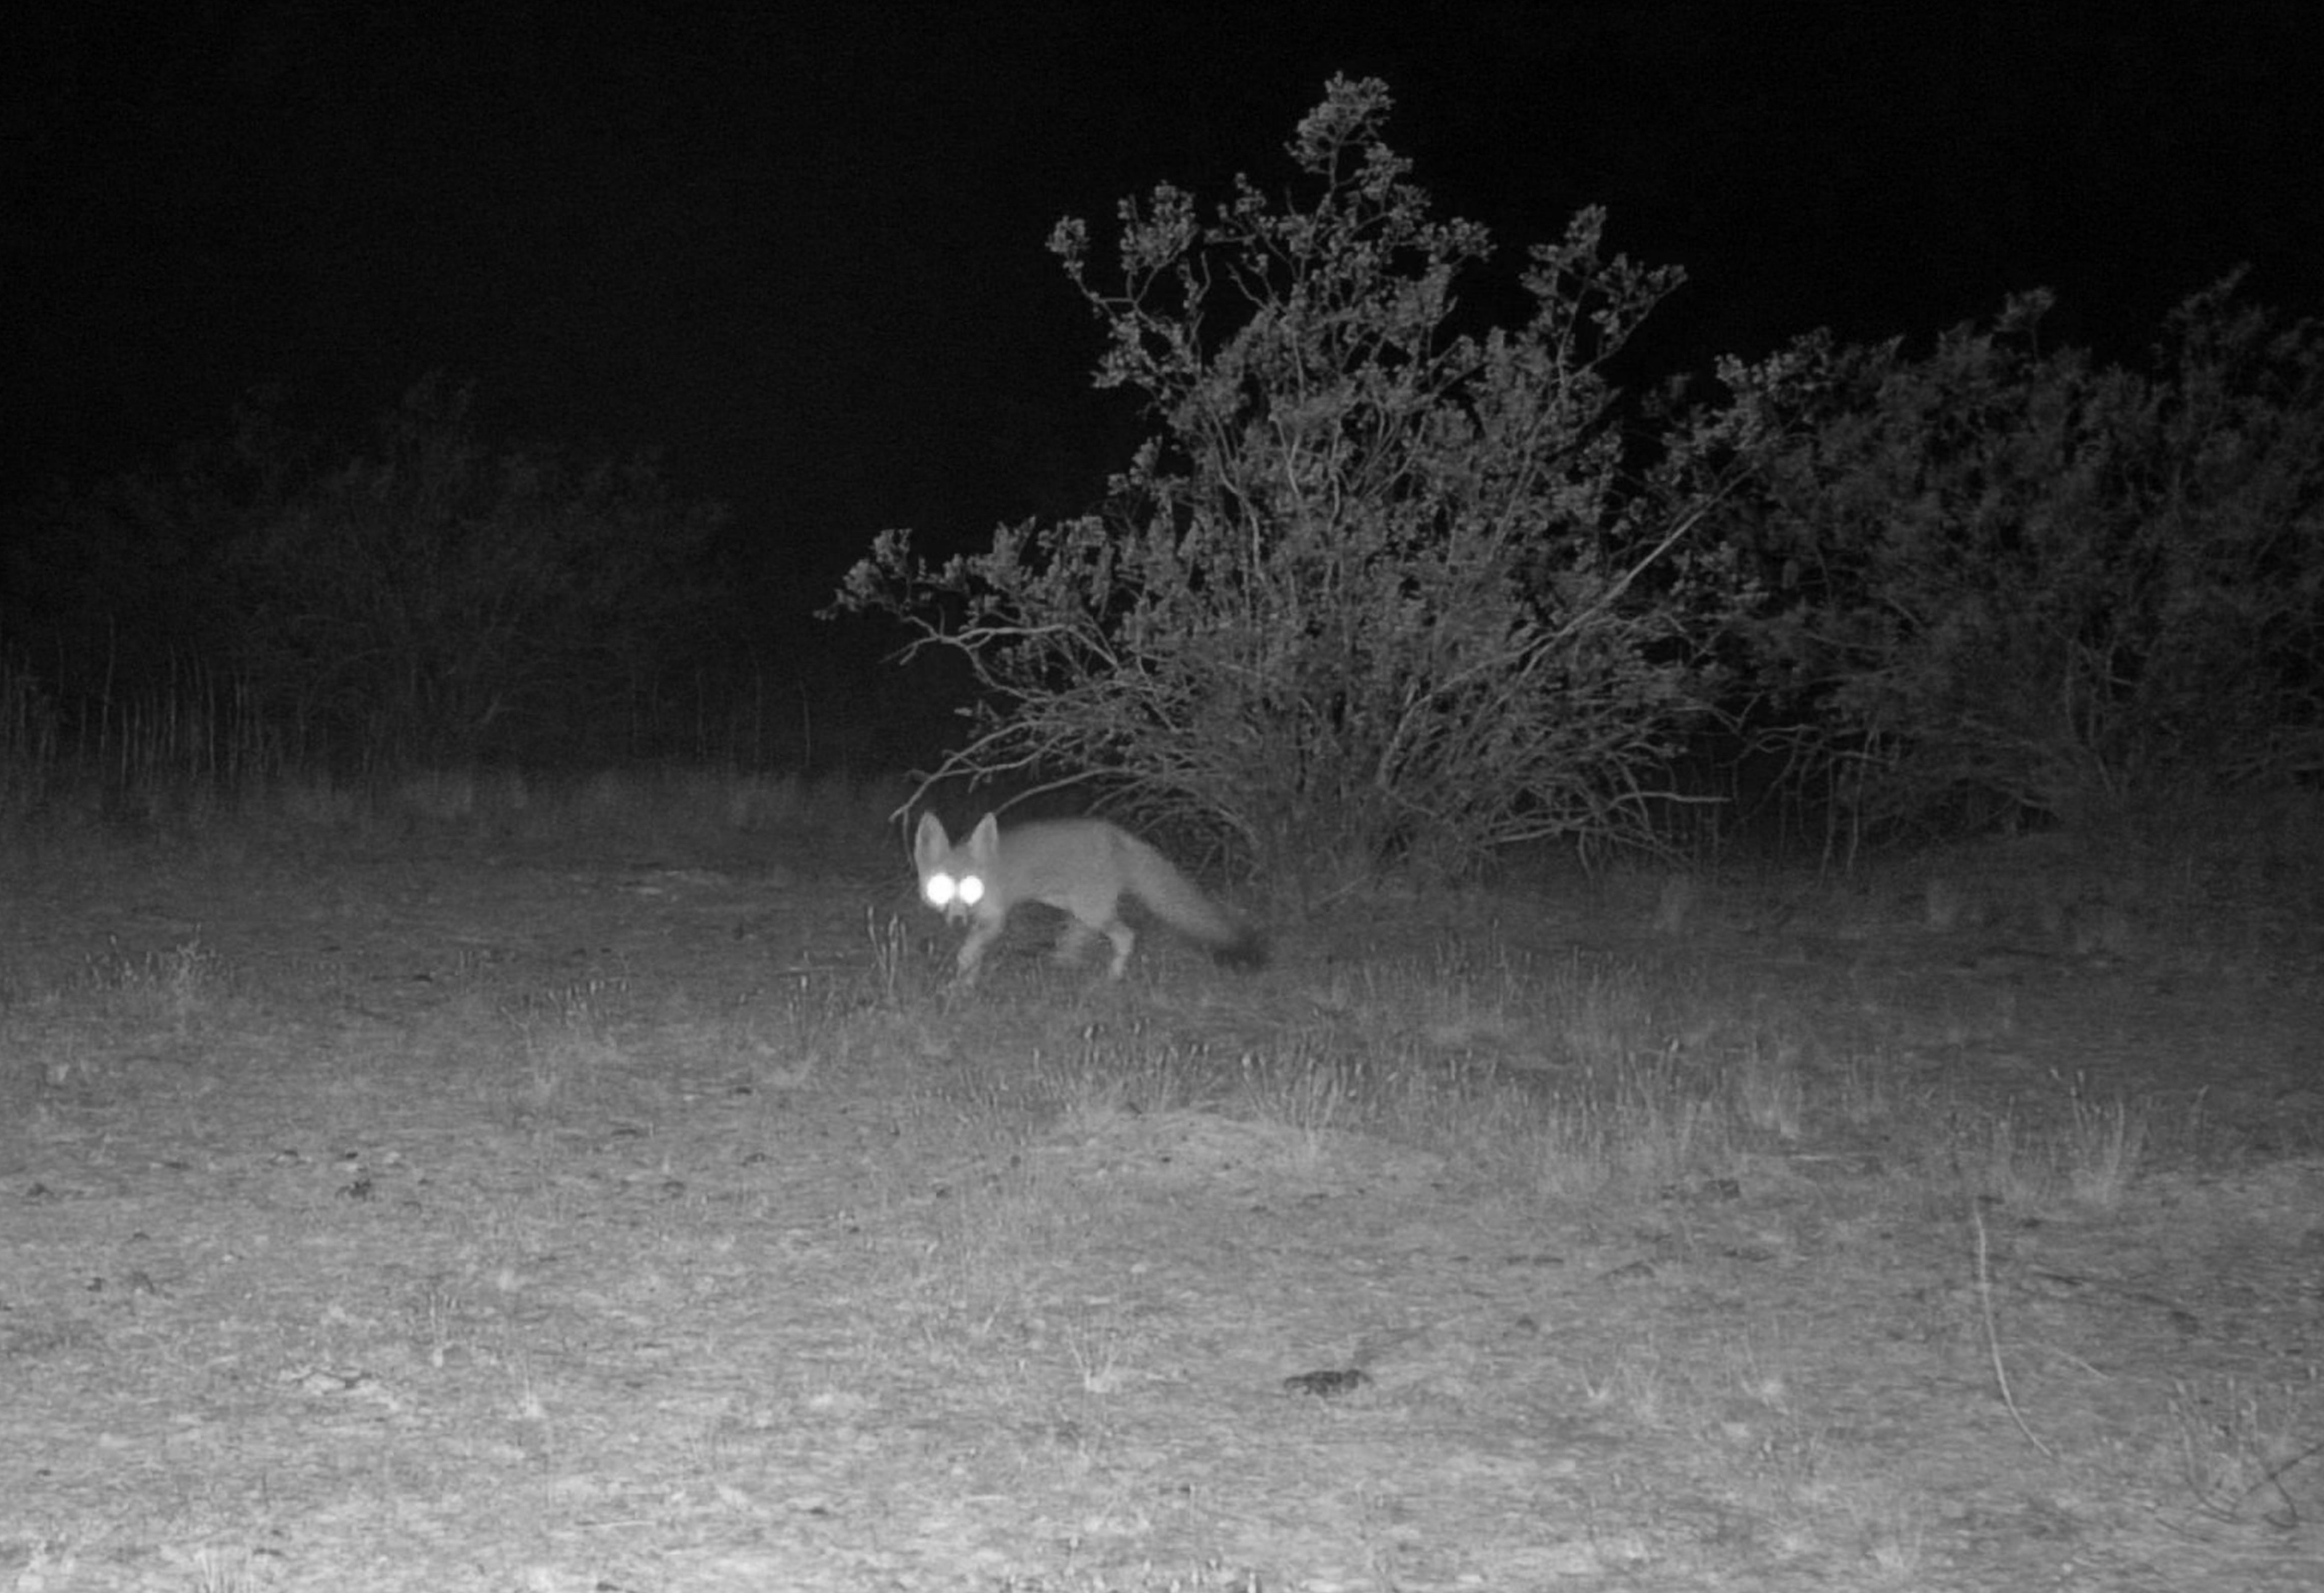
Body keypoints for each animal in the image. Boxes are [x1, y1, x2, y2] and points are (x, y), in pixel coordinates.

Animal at [913, 811, 1267, 984]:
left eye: (972, 888)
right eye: (941, 889)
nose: (957, 921)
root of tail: (1115, 834)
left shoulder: (993, 919)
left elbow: (967, 954)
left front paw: (959, 986)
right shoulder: (983, 924)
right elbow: (974, 956)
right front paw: (968, 984)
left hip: (1092, 911)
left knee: (1126, 936)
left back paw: (1110, 980)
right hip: (1079, 909)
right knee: (1079, 938)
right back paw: (1065, 965)